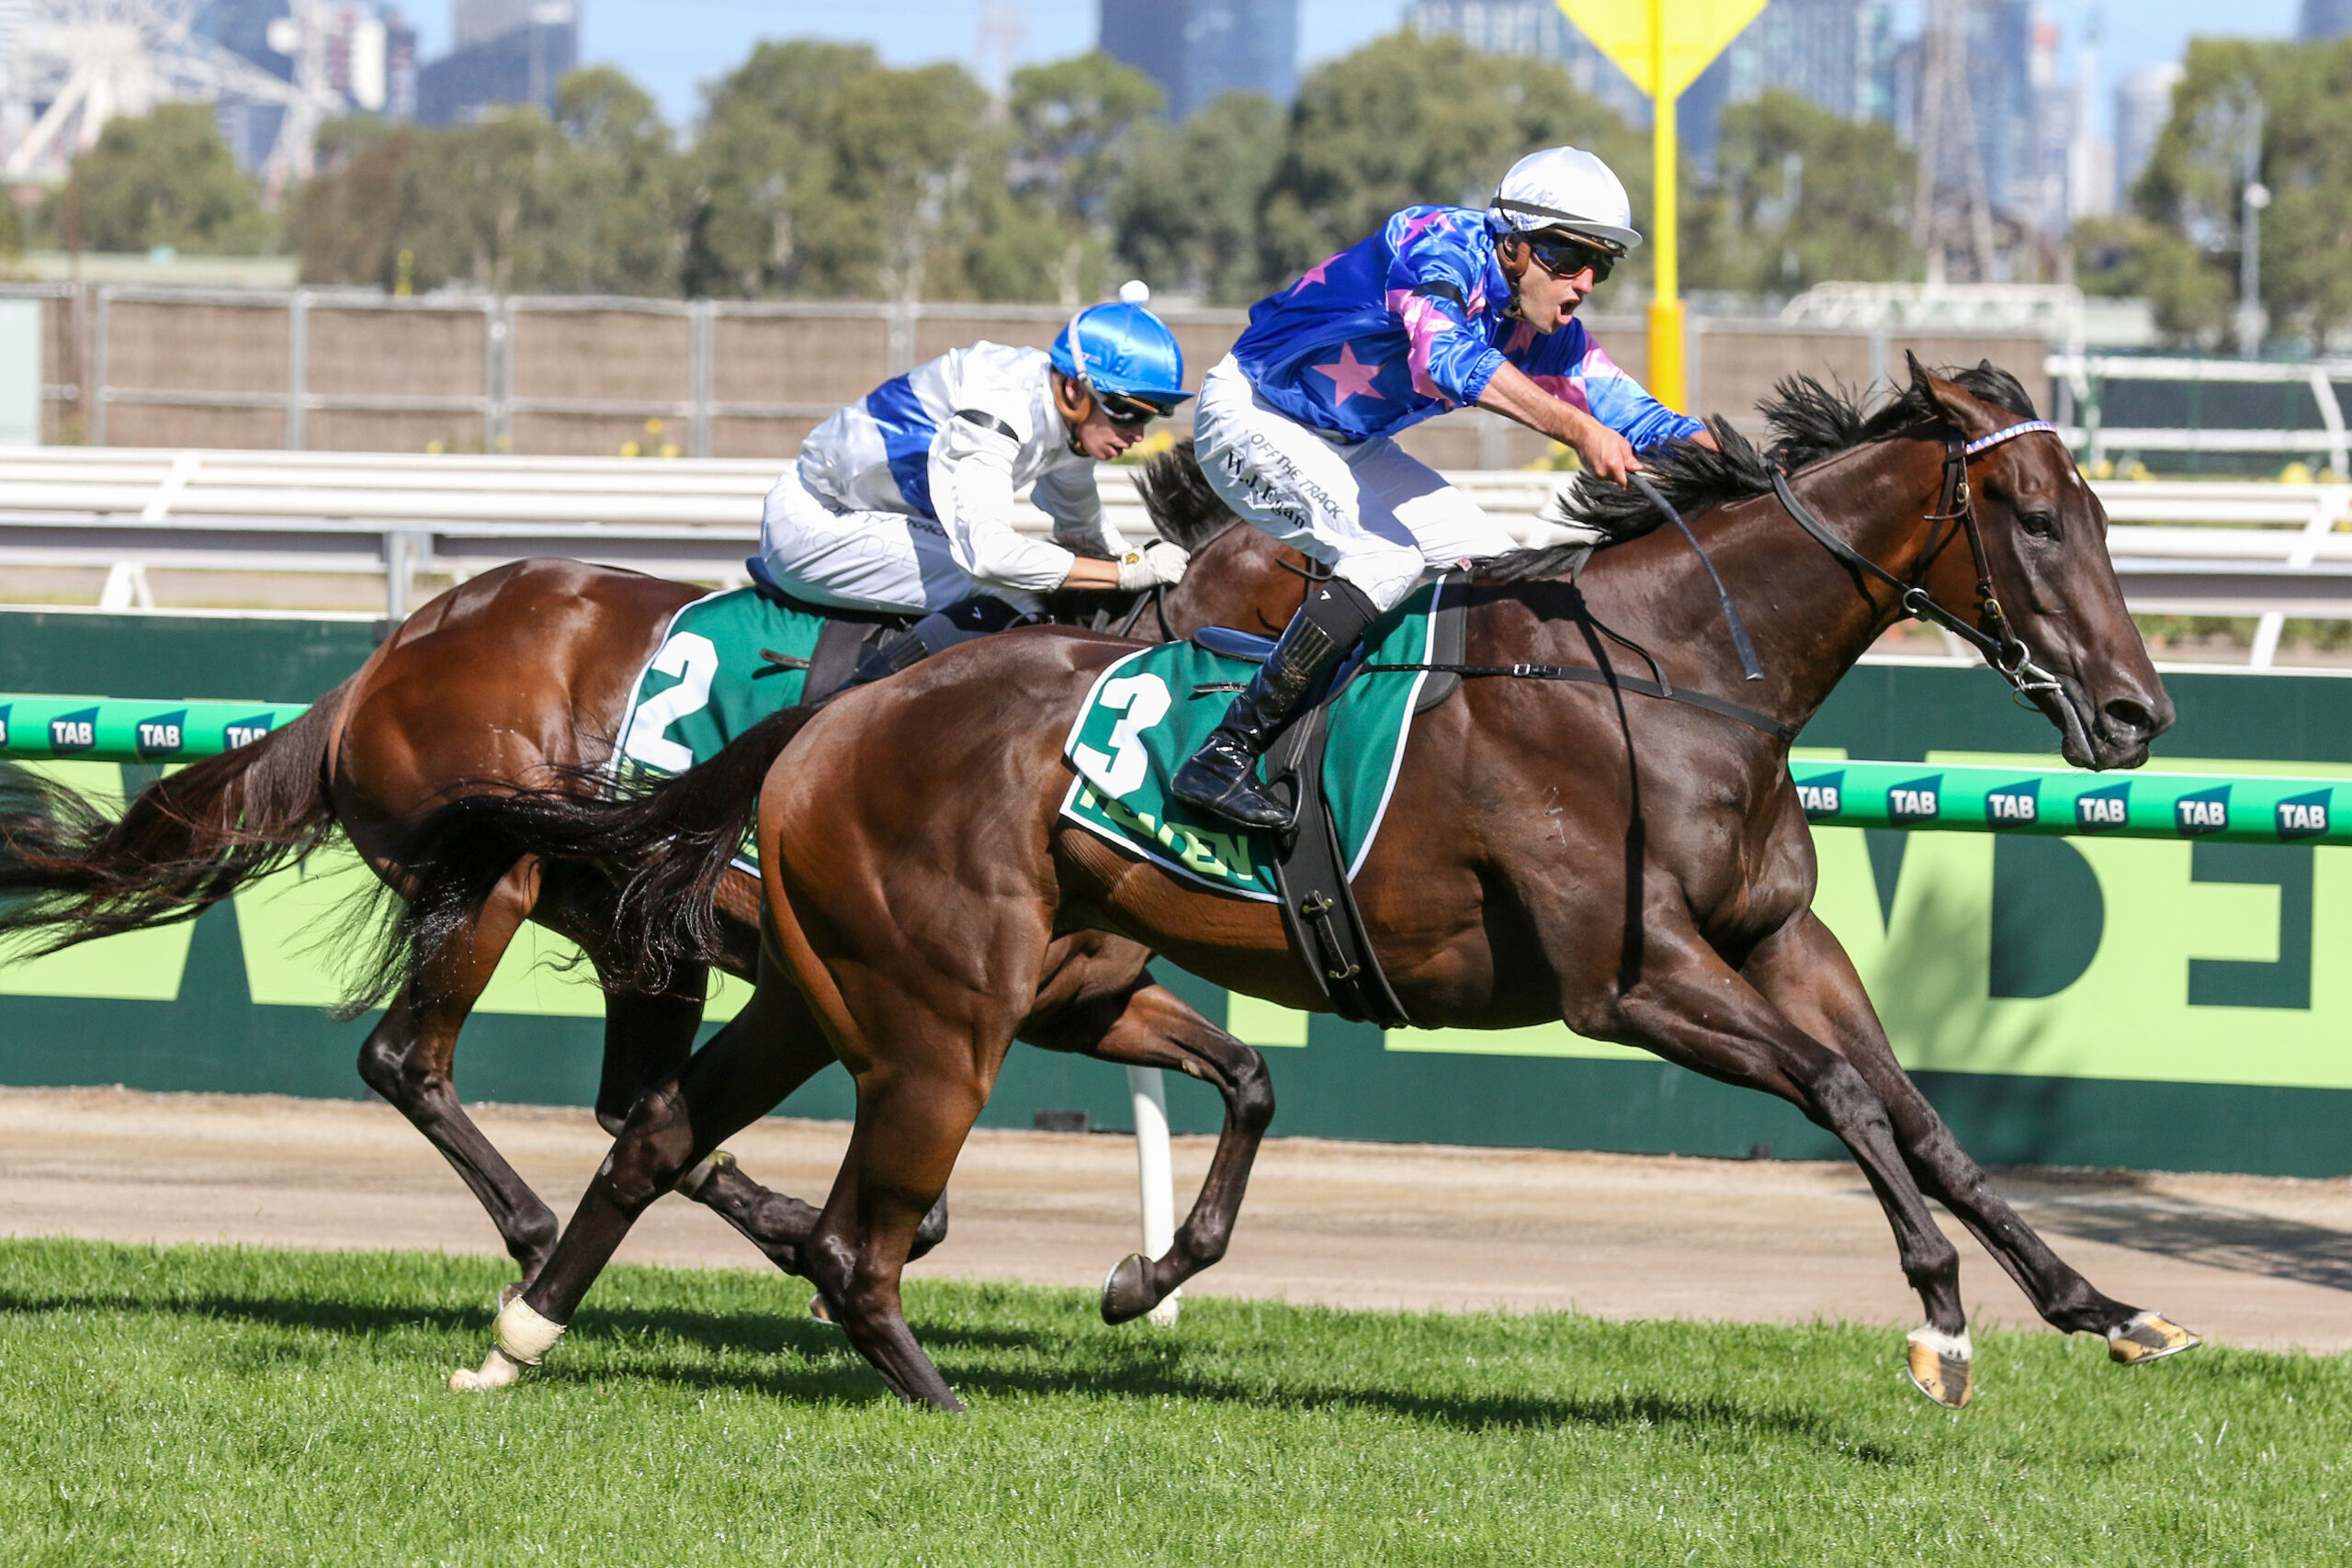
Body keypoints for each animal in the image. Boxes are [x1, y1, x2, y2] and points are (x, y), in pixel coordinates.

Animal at [0, 448, 1314, 1298]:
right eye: (1314, 564)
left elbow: (1245, 1078)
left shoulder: (1078, 997)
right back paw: (547, 1230)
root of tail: (390, 656)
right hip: (489, 887)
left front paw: (1149, 1271)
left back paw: (748, 1220)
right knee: (408, 1062)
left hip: (637, 929)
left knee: (632, 1099)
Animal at [410, 358, 2202, 1413]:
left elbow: (1918, 1111)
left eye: (2106, 509)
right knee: (851, 1227)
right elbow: (1836, 1092)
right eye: (2033, 514)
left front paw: (2103, 1301)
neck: (1675, 669)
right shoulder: (1631, 978)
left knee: (657, 1132)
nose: (2135, 715)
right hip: (937, 1012)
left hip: (820, 981)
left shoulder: (1781, 938)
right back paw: (913, 1385)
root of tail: (834, 714)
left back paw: (520, 1336)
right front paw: (1940, 1322)